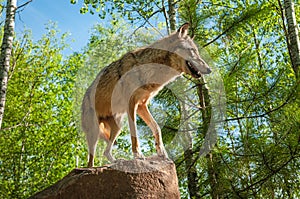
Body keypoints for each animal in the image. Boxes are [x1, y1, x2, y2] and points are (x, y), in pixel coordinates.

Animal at [79, 22, 211, 167]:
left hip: (118, 126)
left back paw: (117, 161)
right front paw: (138, 155)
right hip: (94, 132)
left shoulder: (141, 105)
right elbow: (135, 133)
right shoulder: (131, 104)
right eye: (192, 51)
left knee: (105, 152)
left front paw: (162, 153)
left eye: (196, 51)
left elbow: (157, 128)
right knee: (90, 160)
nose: (209, 69)